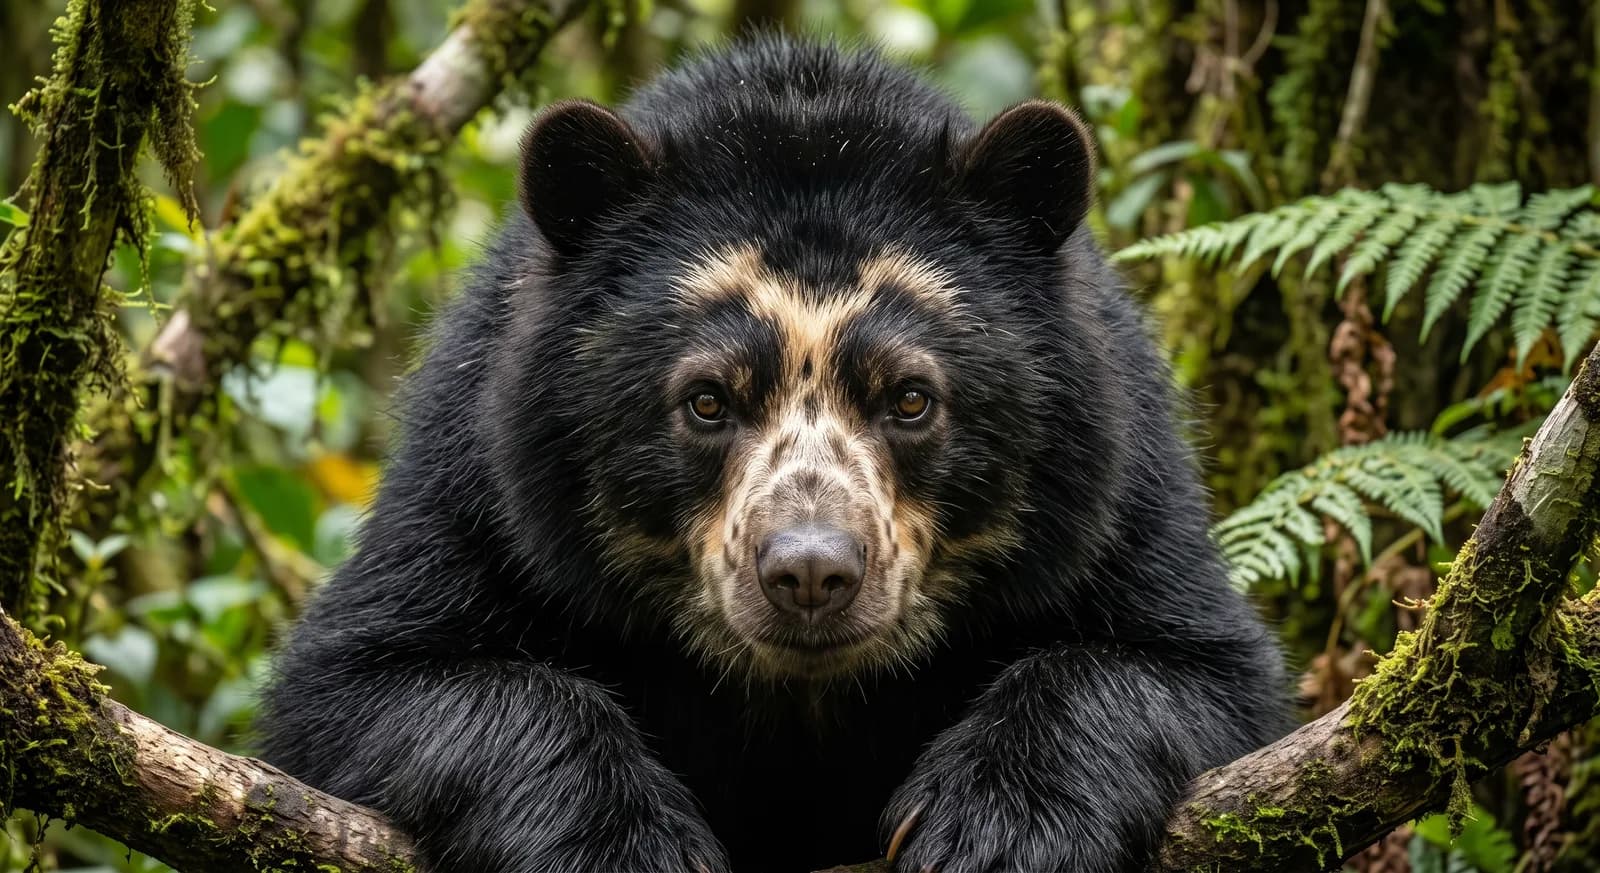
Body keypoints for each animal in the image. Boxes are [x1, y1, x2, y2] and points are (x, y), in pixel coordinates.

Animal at [257, 35, 1289, 873]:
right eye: (708, 401)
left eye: (911, 398)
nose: (810, 572)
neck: (802, 692)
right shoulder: (476, 469)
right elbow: (373, 678)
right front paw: (624, 842)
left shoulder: (1120, 480)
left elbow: (1187, 669)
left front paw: (995, 827)